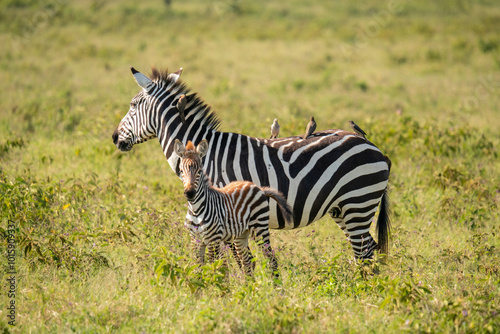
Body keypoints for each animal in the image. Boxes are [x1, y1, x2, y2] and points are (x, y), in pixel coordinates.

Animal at [113, 66, 390, 258]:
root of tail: (374, 147)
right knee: (369, 248)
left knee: (364, 252)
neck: (206, 154)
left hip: (358, 202)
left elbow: (231, 259)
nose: (115, 137)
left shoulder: (225, 213)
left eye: (133, 105)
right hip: (343, 208)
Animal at [175, 139, 294, 276]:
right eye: (181, 171)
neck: (196, 211)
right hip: (241, 235)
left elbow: (214, 269)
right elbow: (199, 270)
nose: (189, 193)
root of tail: (257, 187)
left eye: (199, 171)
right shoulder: (195, 240)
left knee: (271, 259)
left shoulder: (213, 240)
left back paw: (276, 282)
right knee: (247, 263)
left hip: (260, 229)